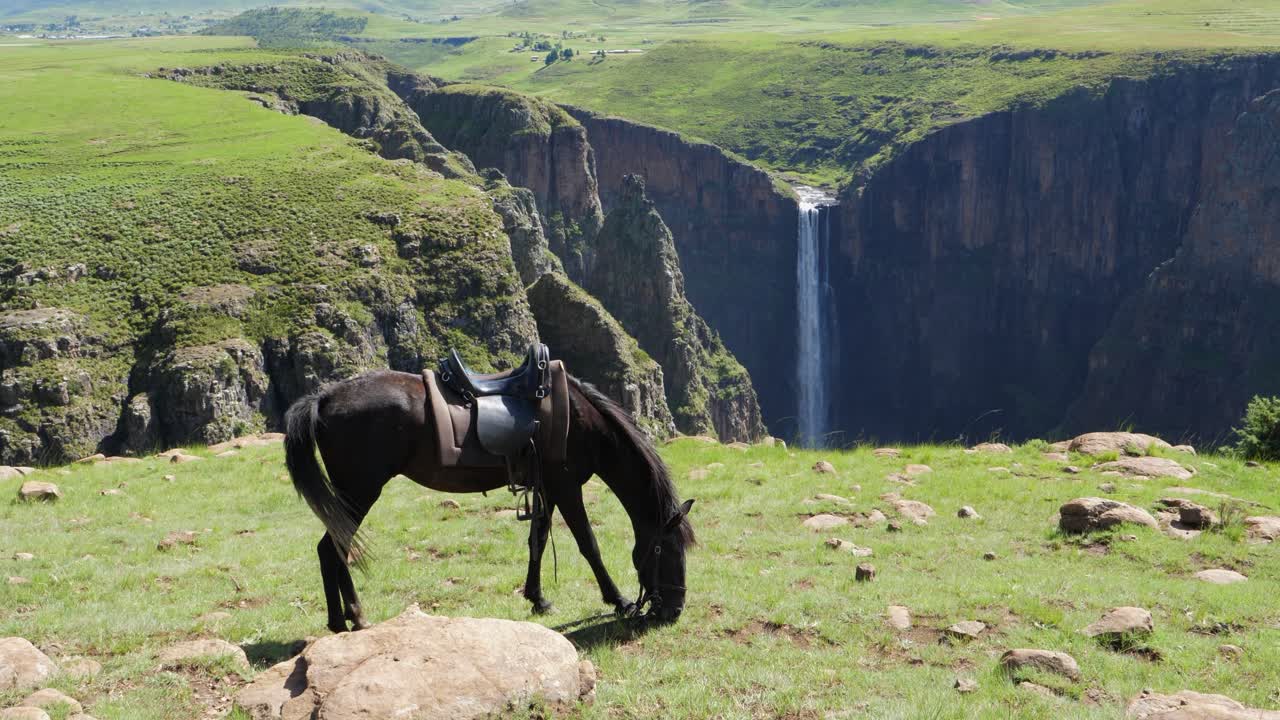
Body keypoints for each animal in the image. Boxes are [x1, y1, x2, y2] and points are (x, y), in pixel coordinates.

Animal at [282, 369, 695, 633]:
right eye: (667, 551)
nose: (674, 611)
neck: (580, 421)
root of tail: (325, 397)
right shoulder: (565, 487)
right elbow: (588, 544)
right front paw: (619, 600)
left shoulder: (546, 488)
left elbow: (537, 541)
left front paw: (537, 598)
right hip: (359, 491)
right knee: (333, 548)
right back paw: (349, 618)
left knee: (332, 548)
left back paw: (346, 617)